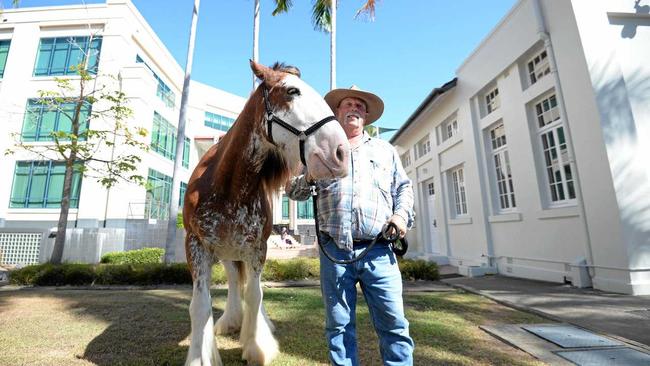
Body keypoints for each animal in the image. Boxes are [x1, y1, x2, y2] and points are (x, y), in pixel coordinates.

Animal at [182, 61, 350, 364]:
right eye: (292, 91)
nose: (340, 153)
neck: (227, 188)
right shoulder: (196, 246)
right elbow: (200, 305)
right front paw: (200, 356)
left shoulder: (257, 249)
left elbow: (255, 295)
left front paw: (256, 346)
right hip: (226, 253)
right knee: (235, 282)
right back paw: (231, 320)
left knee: (251, 289)